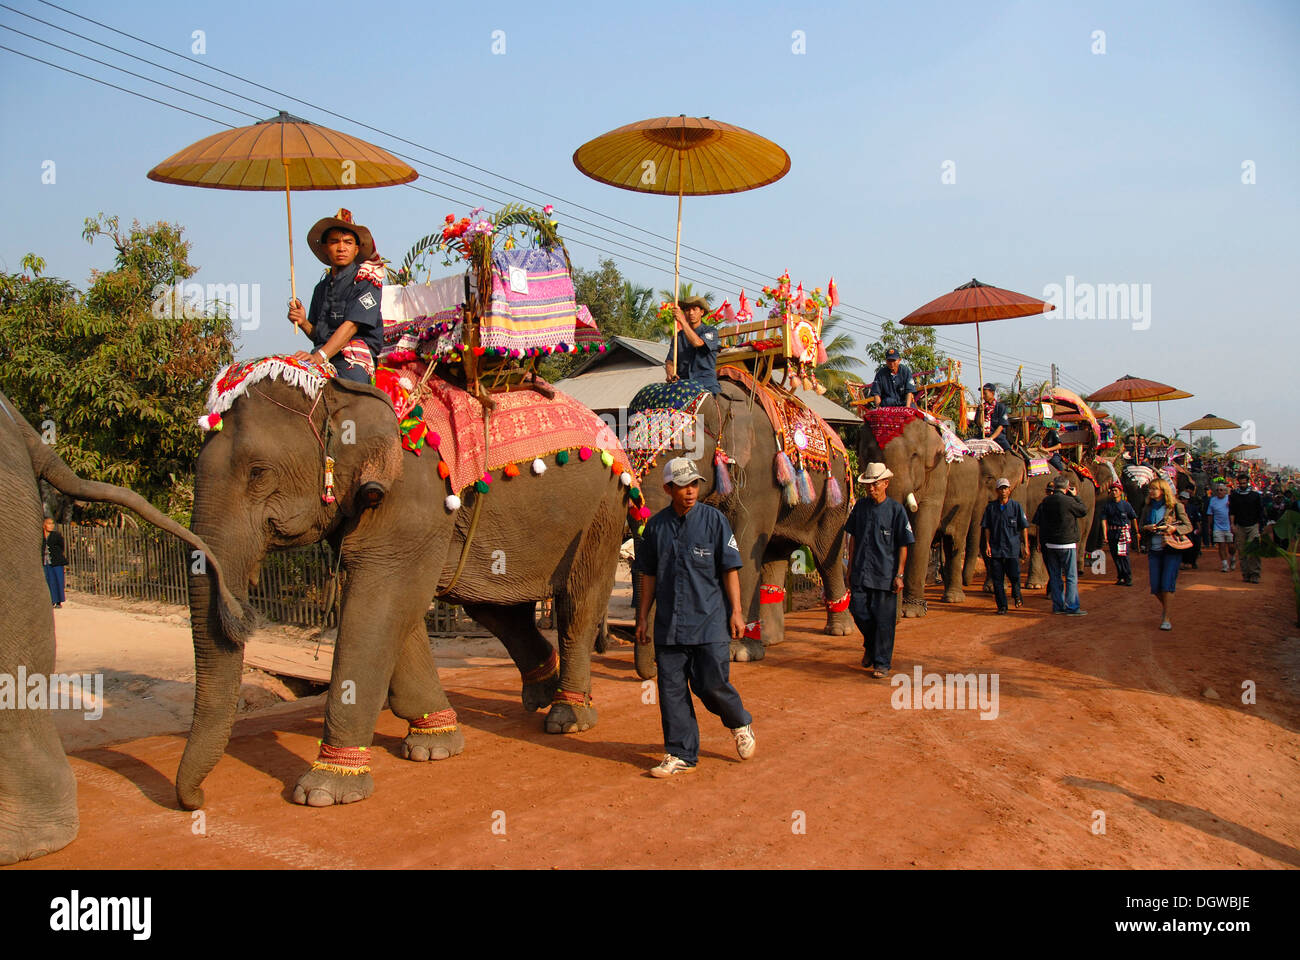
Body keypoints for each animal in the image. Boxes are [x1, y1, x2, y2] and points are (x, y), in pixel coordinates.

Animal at [179, 356, 629, 806]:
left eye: (258, 473)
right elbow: (398, 606)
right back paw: (540, 692)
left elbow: (380, 602)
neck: (341, 392)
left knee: (578, 603)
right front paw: (434, 744)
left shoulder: (412, 494)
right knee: (494, 607)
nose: (196, 799)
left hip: (604, 508)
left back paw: (568, 718)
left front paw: (325, 790)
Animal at [626, 369, 852, 671]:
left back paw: (839, 630)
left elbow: (742, 547)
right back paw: (769, 640)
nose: (652, 668)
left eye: (685, 454)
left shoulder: (758, 474)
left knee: (827, 552)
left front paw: (738, 654)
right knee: (773, 552)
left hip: (834, 494)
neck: (721, 403)